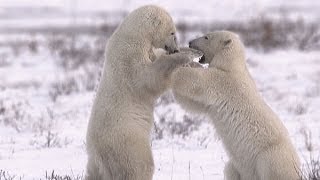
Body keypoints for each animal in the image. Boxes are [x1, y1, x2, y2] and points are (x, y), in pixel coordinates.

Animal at [84, 5, 192, 180]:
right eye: (172, 33)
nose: (174, 48)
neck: (133, 34)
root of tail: (97, 152)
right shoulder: (129, 56)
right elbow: (148, 78)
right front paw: (184, 56)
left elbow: (155, 59)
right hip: (126, 139)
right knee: (139, 165)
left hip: (96, 163)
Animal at [172, 31, 300, 180]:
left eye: (206, 37)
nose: (190, 42)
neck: (232, 66)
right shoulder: (212, 101)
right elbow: (193, 105)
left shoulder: (222, 81)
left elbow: (195, 82)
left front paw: (175, 65)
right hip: (239, 167)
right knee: (230, 169)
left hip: (271, 155)